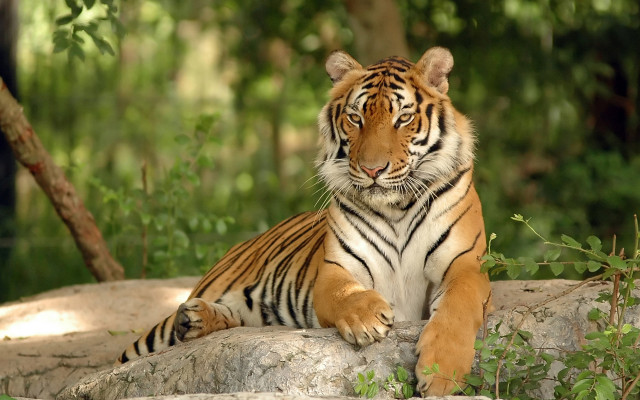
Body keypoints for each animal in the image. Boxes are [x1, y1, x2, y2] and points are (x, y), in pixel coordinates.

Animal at [116, 47, 492, 396]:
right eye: (355, 118)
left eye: (403, 117)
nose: (372, 169)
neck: (395, 208)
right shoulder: (336, 269)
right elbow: (344, 293)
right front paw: (367, 318)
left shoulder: (466, 265)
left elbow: (457, 308)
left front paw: (442, 375)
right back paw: (189, 318)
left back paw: (192, 320)